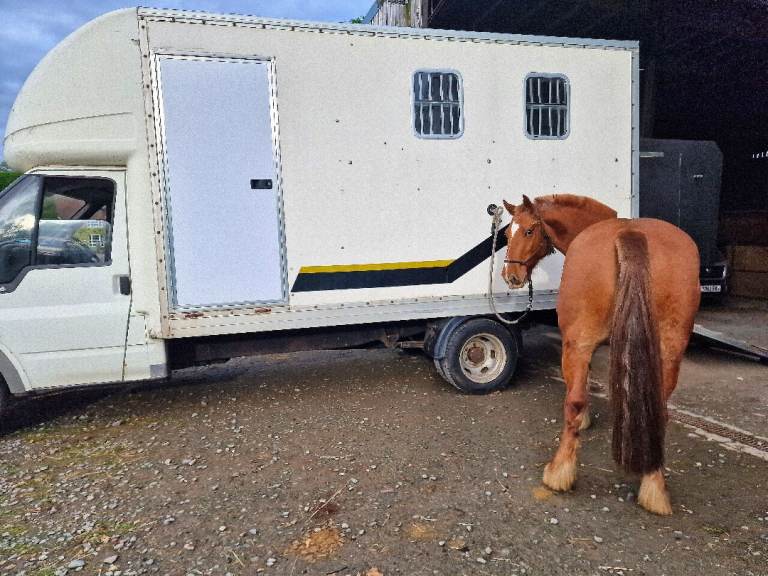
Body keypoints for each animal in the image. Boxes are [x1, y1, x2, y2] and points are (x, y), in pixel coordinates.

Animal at [500, 194, 700, 515]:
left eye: (529, 231)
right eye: (507, 233)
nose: (511, 276)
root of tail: (630, 234)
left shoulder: (580, 343)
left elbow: (580, 391)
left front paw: (583, 423)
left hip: (577, 344)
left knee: (573, 403)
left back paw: (559, 472)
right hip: (670, 350)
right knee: (661, 411)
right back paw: (654, 487)